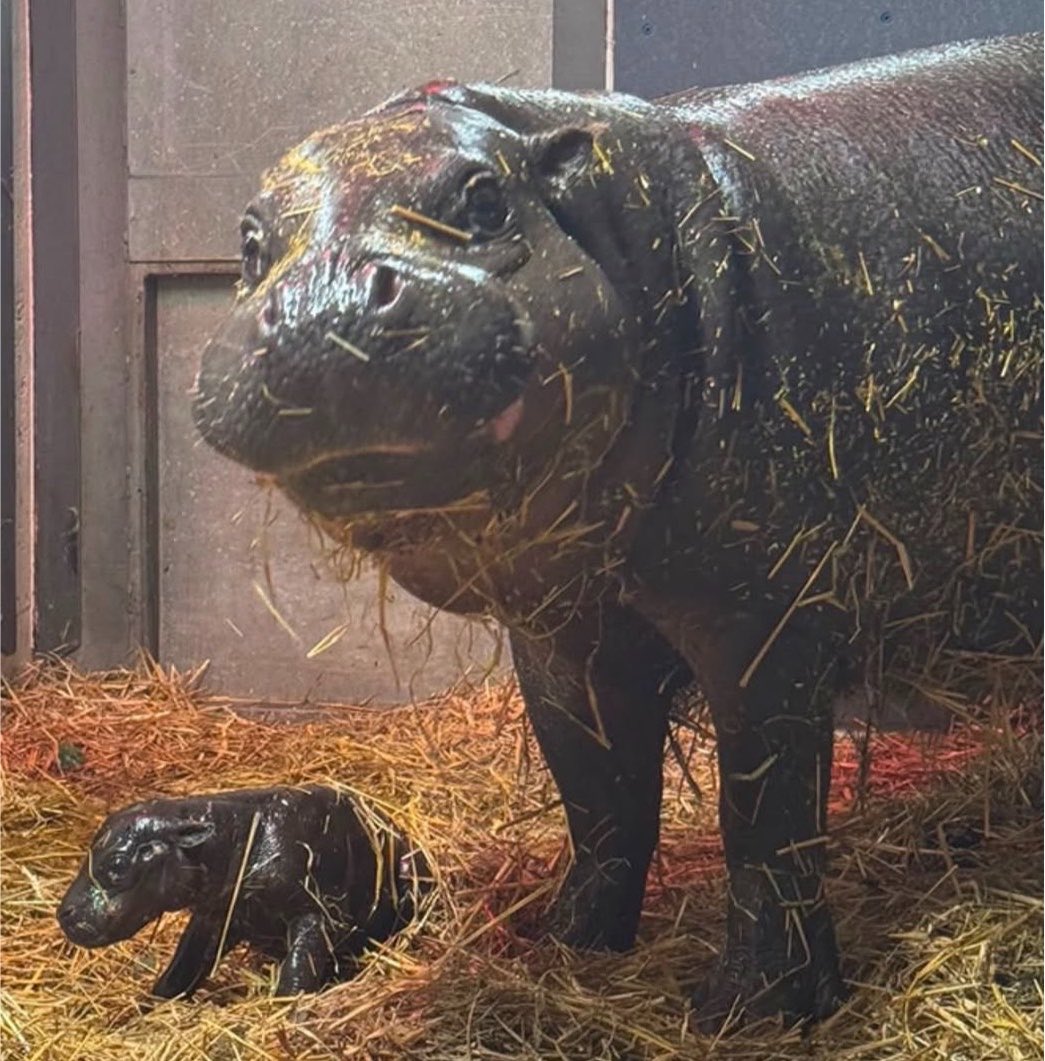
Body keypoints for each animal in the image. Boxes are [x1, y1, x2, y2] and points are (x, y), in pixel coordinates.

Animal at [57, 786, 431, 999]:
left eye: (118, 863)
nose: (64, 914)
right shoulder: (214, 915)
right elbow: (183, 965)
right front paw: (148, 1006)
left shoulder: (311, 914)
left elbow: (299, 966)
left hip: (413, 871)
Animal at [193, 34, 1043, 1028]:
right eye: (250, 241)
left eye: (485, 197)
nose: (322, 302)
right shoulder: (564, 632)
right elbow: (599, 795)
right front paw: (564, 944)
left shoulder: (765, 620)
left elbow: (764, 814)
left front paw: (745, 1012)